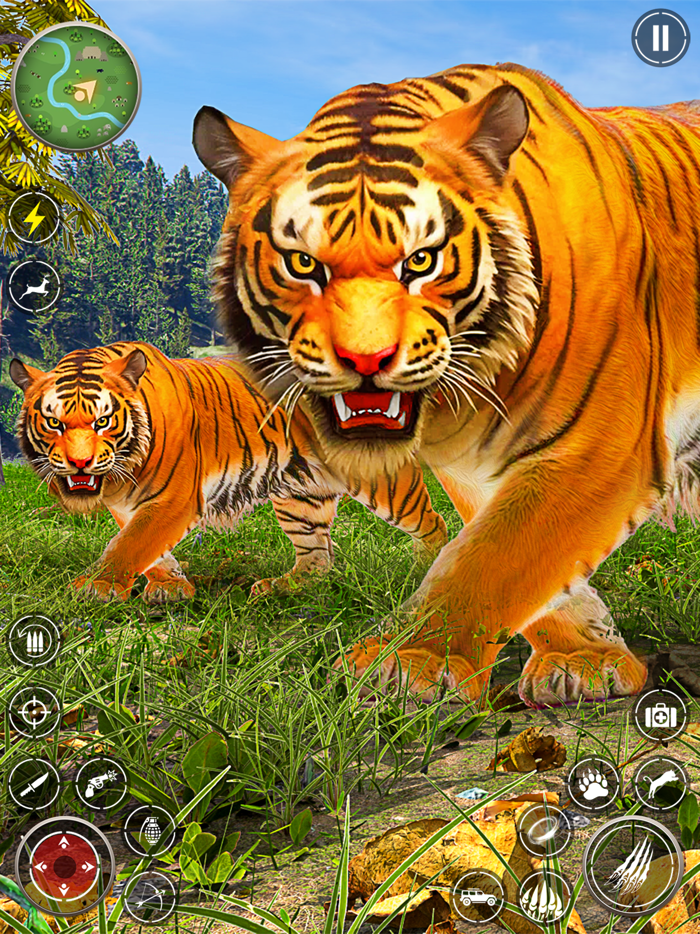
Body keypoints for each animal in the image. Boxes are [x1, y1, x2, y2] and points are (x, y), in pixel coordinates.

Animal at [9, 342, 447, 603]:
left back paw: (424, 571)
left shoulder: (172, 500)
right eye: (54, 423)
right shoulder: (128, 504)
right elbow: (148, 548)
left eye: (101, 422)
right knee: (317, 556)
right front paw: (171, 587)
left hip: (384, 485)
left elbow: (130, 545)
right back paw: (282, 588)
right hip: (301, 497)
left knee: (433, 522)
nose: (79, 464)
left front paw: (94, 587)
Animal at [191, 61, 700, 708]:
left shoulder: (599, 447)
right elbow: (511, 559)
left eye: (421, 261)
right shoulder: (476, 464)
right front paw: (583, 657)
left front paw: (407, 663)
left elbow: (491, 558)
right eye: (304, 264)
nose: (365, 358)